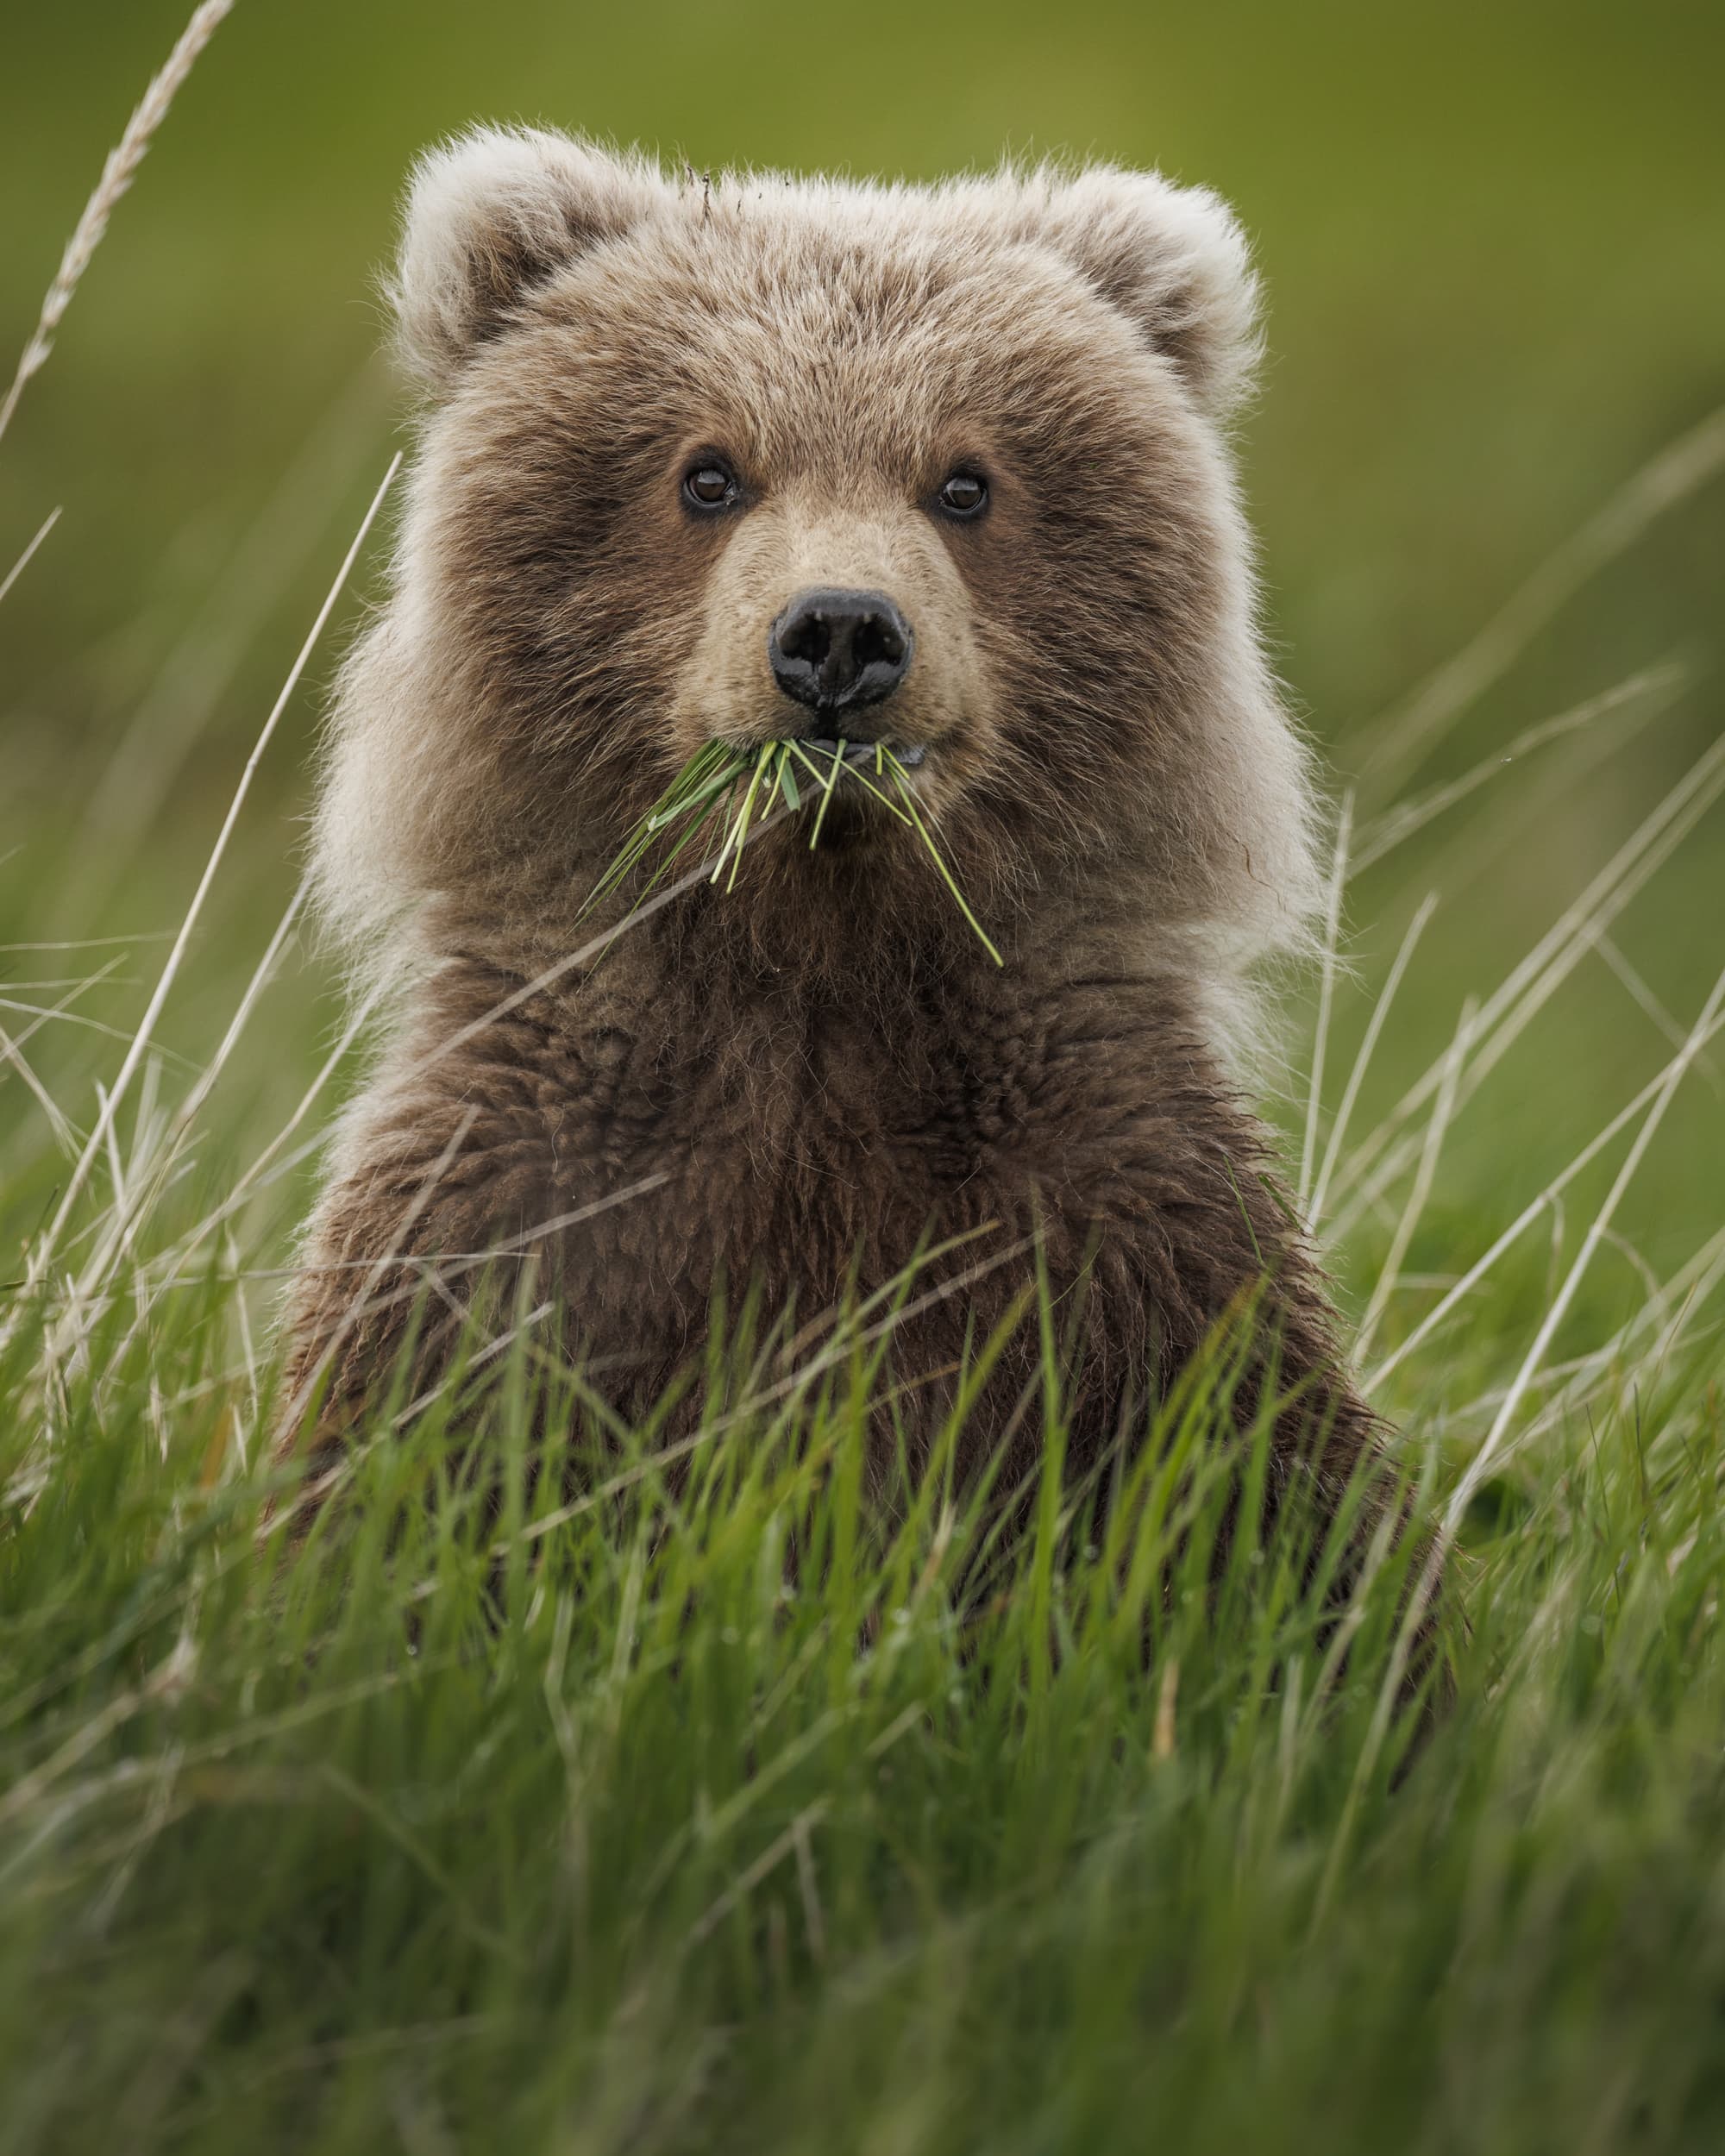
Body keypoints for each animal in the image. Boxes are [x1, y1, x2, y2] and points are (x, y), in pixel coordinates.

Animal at [276, 126, 1397, 1552]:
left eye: (965, 482)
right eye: (708, 472)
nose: (842, 633)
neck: (817, 954)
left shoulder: (1115, 1214)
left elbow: (1277, 1492)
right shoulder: (528, 1194)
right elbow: (381, 1455)